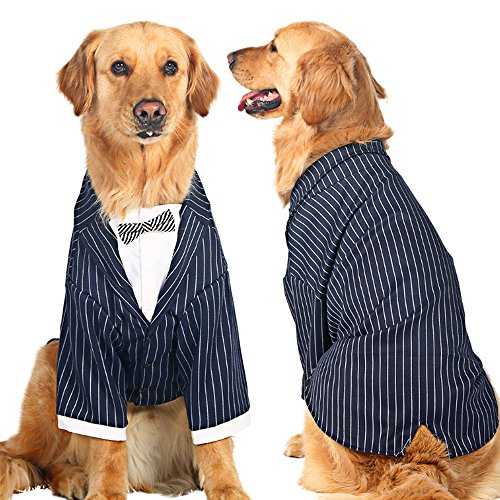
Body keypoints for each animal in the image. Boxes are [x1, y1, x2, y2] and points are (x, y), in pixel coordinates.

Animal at [0, 22, 250, 500]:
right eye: (118, 67)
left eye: (170, 67)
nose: (151, 111)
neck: (143, 206)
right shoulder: (89, 328)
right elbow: (106, 443)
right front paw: (108, 492)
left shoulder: (211, 323)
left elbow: (217, 436)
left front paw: (228, 488)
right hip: (52, 360)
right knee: (31, 456)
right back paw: (73, 477)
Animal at [229, 21, 500, 499]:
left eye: (274, 47)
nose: (226, 57)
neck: (335, 148)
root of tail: (420, 457)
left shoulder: (303, 290)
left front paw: (299, 441)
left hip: (330, 370)